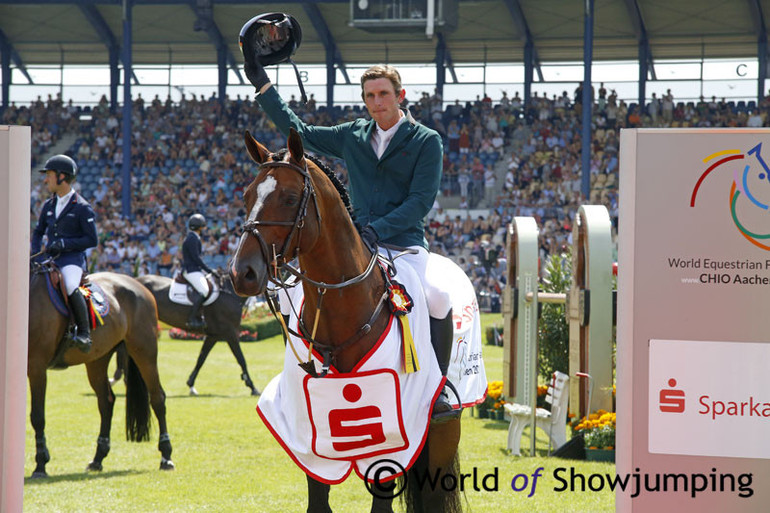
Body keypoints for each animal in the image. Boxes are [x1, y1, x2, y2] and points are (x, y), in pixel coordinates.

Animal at [27, 258, 173, 478]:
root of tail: (138, 284)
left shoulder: (37, 366)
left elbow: (37, 416)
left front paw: (40, 465)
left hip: (144, 352)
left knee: (157, 398)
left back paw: (166, 456)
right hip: (97, 360)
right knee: (106, 401)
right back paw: (98, 458)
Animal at [230, 130, 462, 512]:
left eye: (289, 198)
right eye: (248, 195)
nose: (242, 273)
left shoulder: (389, 439)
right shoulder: (311, 439)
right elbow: (317, 500)